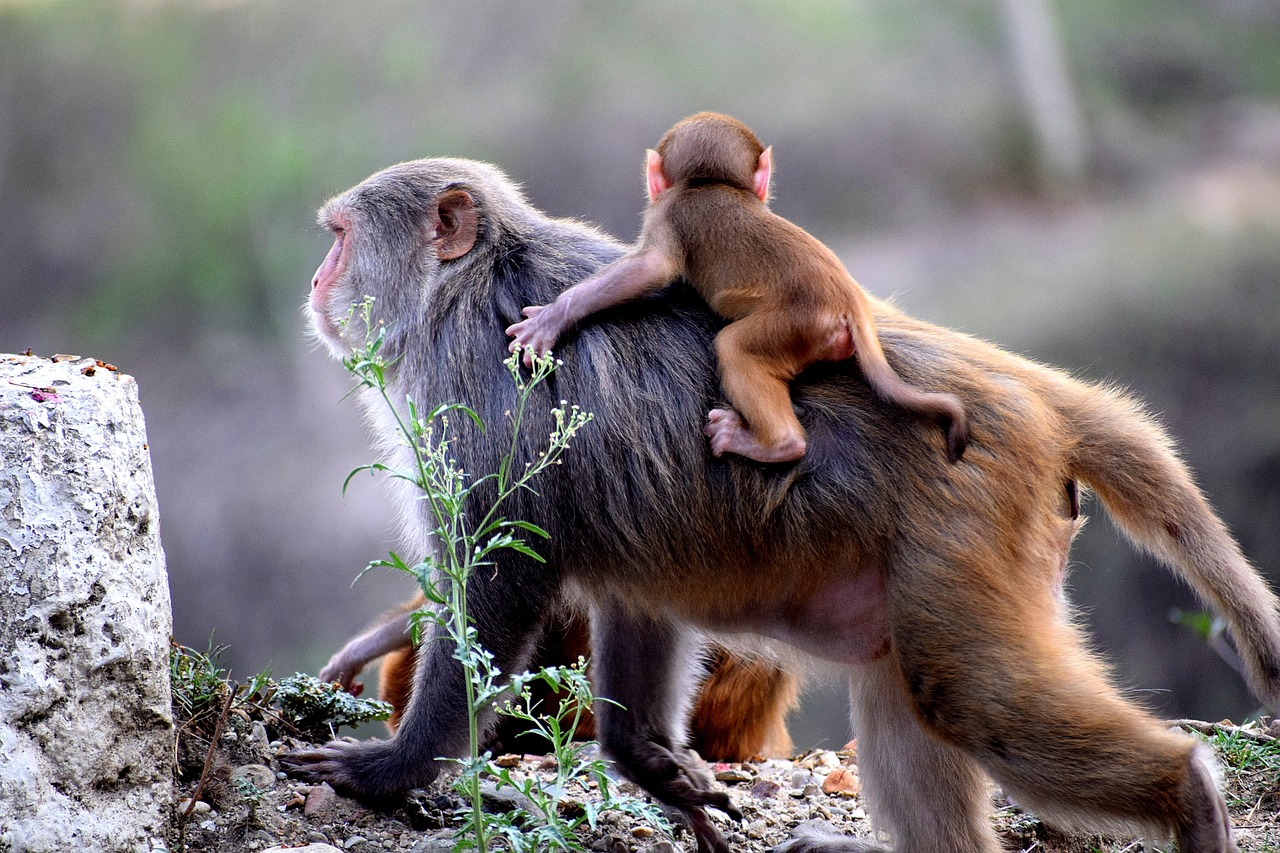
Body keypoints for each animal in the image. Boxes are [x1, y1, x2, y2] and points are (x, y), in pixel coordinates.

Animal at [290, 156, 1280, 845]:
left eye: (336, 237)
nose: (313, 284)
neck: (464, 285)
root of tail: (1020, 391)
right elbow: (634, 587)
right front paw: (650, 761)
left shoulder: (470, 390)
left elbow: (501, 572)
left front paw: (395, 765)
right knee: (907, 686)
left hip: (968, 511)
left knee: (967, 695)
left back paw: (1190, 795)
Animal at [504, 112, 962, 461]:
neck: (710, 184)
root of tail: (847, 301)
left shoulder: (669, 212)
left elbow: (652, 268)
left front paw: (553, 317)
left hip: (798, 326)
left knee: (735, 347)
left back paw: (776, 446)